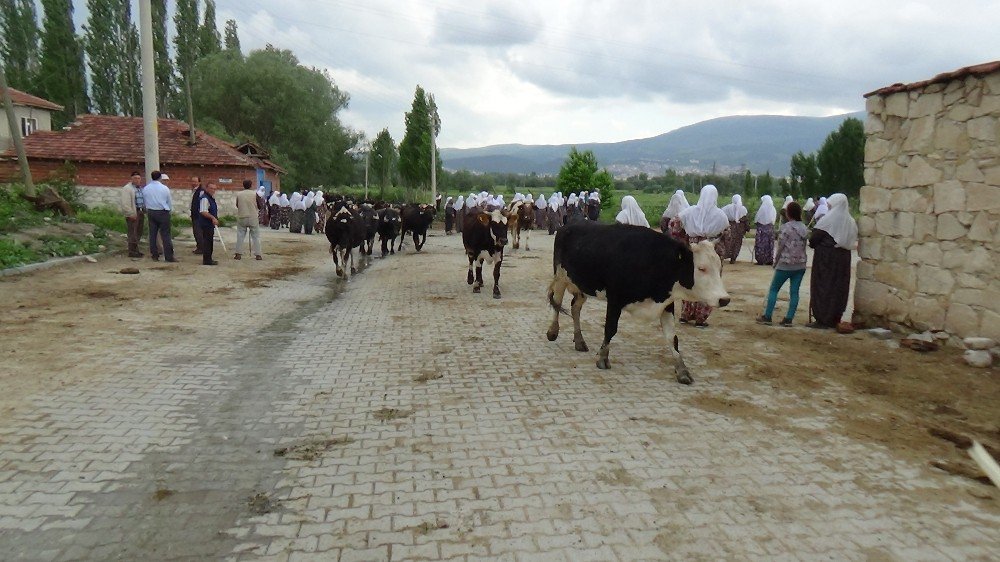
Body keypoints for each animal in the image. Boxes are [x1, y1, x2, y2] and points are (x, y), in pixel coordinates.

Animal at [544, 221, 732, 382]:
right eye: (701, 268)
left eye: (719, 267)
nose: (724, 299)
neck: (654, 261)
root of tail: (570, 224)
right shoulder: (615, 299)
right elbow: (610, 329)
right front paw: (603, 358)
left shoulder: (667, 303)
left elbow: (672, 338)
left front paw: (682, 370)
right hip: (560, 277)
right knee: (557, 303)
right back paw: (553, 331)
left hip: (582, 285)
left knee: (574, 307)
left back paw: (579, 340)